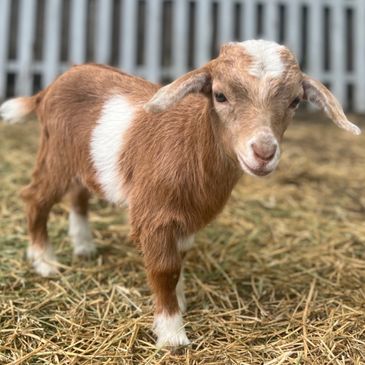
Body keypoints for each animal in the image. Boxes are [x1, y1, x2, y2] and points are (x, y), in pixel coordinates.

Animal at [0, 39, 358, 346]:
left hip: (81, 160)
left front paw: (181, 298)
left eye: (295, 101)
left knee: (78, 195)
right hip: (55, 153)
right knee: (36, 198)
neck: (193, 144)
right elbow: (165, 269)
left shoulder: (187, 218)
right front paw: (172, 334)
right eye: (220, 95)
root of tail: (49, 88)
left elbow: (180, 259)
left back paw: (84, 246)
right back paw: (44, 261)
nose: (263, 151)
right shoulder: (155, 216)